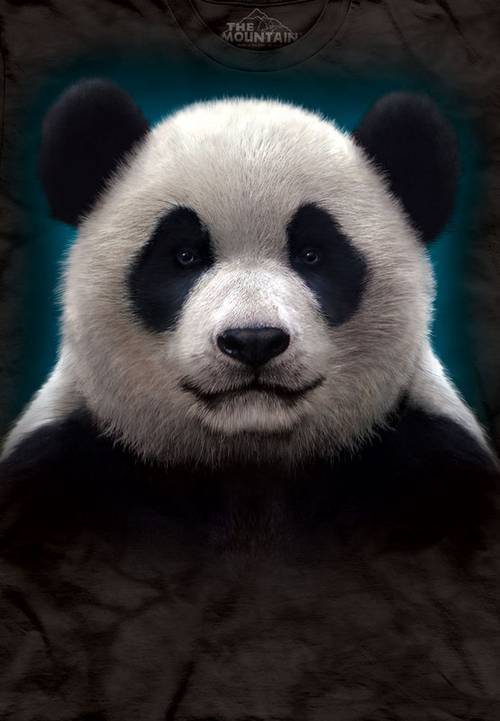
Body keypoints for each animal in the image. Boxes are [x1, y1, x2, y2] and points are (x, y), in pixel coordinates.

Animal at [1, 80, 500, 719]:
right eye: (184, 256)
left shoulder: (427, 463)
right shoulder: (64, 471)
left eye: (312, 255)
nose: (254, 341)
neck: (249, 462)